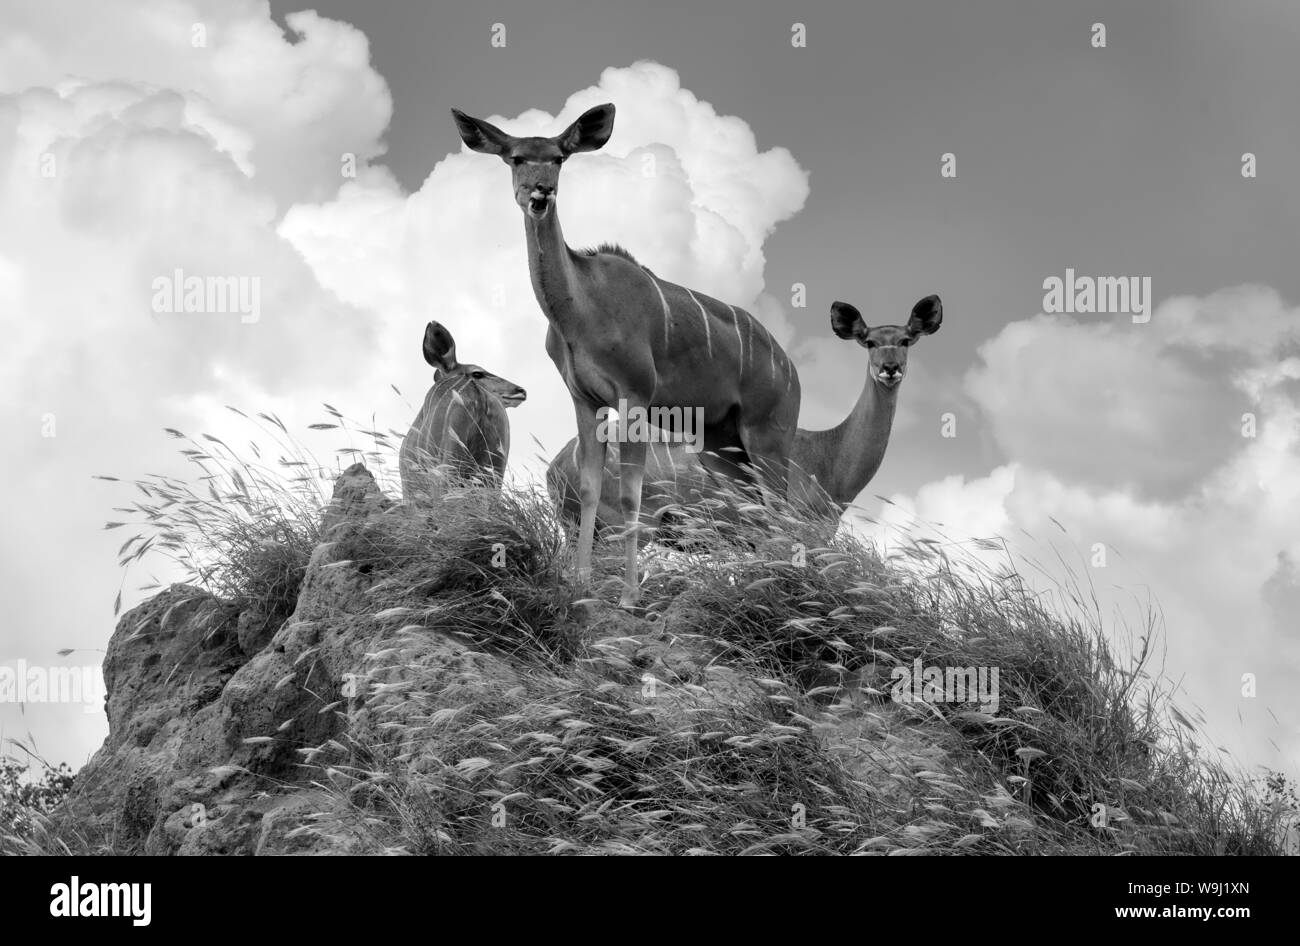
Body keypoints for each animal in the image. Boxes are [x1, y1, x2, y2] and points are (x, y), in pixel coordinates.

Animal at [452, 103, 801, 608]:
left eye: (558, 158)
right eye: (516, 158)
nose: (540, 192)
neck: (581, 307)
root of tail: (790, 369)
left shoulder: (635, 396)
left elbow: (633, 497)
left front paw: (629, 597)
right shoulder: (585, 400)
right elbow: (592, 488)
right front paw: (580, 583)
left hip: (767, 433)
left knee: (782, 505)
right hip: (722, 442)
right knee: (758, 507)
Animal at [547, 295, 943, 534]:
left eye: (906, 339)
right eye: (870, 341)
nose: (889, 368)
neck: (830, 465)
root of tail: (555, 467)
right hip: (626, 525)